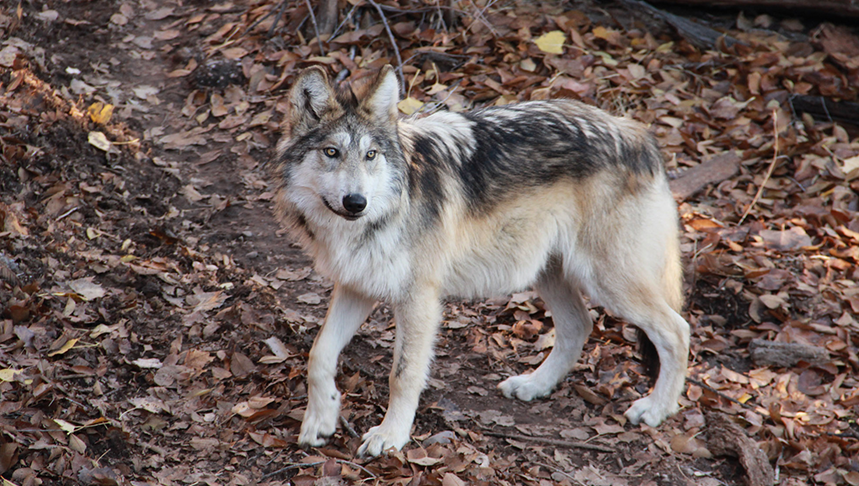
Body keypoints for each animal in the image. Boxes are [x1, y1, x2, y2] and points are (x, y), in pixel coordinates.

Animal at [272, 66, 688, 458]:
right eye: (331, 152)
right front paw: (320, 420)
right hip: (549, 273)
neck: (380, 213)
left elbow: (402, 375)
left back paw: (655, 410)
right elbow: (318, 354)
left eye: (370, 155)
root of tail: (637, 133)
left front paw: (390, 436)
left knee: (677, 331)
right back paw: (534, 386)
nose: (356, 202)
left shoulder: (418, 299)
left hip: (607, 282)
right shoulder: (356, 287)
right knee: (579, 326)